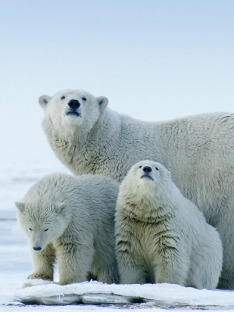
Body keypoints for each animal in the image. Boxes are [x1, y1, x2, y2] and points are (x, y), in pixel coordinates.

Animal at [115, 161, 223, 290]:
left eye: (157, 168)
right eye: (139, 166)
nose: (147, 169)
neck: (147, 214)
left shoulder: (168, 226)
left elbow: (170, 256)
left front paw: (166, 285)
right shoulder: (131, 225)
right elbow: (130, 255)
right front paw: (132, 283)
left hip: (210, 256)